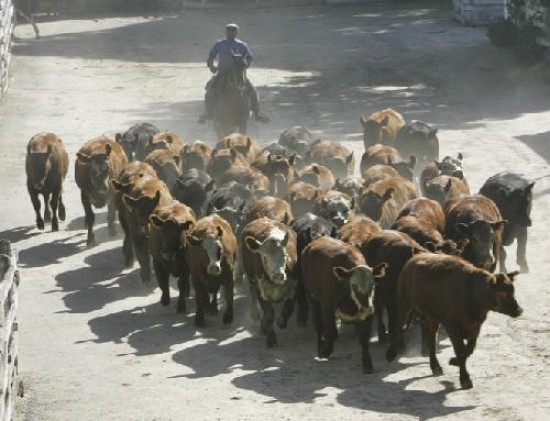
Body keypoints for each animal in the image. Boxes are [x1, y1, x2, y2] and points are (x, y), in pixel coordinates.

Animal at [244, 218, 300, 346]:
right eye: (264, 256)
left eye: (285, 255)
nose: (278, 275)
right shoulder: (261, 290)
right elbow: (269, 315)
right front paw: (270, 337)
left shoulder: (294, 285)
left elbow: (289, 308)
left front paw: (280, 321)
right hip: (250, 278)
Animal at [302, 235, 388, 372]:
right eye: (354, 285)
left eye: (373, 285)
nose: (366, 308)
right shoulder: (327, 305)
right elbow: (329, 330)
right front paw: (325, 351)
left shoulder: (368, 314)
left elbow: (364, 338)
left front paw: (367, 363)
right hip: (312, 297)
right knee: (319, 325)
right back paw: (320, 347)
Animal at [390, 253, 524, 388]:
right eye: (501, 293)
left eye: (513, 291)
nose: (519, 310)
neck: (473, 294)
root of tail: (415, 258)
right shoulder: (453, 327)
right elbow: (461, 351)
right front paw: (465, 379)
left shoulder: (475, 327)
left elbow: (469, 349)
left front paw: (454, 362)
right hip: (404, 304)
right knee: (397, 327)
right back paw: (390, 353)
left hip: (432, 318)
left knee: (431, 338)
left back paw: (435, 367)